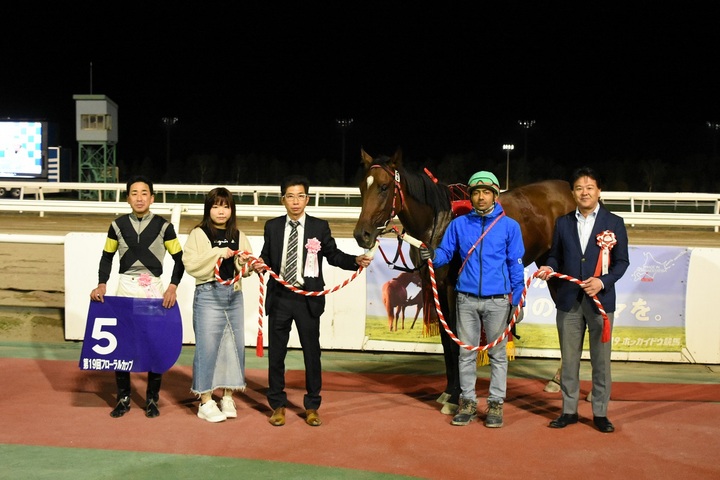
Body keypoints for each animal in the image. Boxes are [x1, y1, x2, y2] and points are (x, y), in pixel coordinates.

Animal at [353, 148, 576, 408]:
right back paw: (557, 380)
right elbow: (446, 339)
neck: (438, 223)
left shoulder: (453, 288)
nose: (362, 234)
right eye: (362, 186)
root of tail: (569, 192)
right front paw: (449, 390)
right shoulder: (435, 287)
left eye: (384, 186)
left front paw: (456, 394)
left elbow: (458, 338)